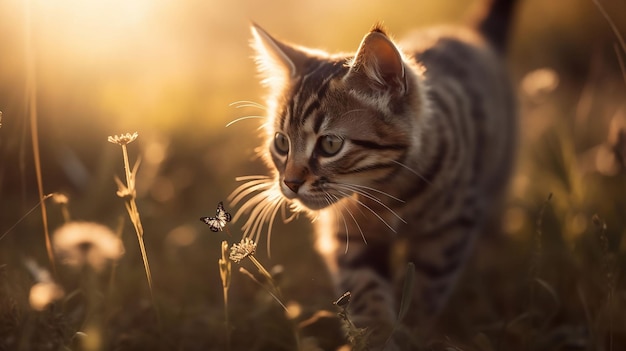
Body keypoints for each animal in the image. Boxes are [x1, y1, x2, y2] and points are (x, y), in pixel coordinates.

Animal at [232, 0, 516, 350]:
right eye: (281, 143)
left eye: (330, 144)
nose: (291, 183)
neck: (387, 193)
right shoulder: (348, 237)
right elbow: (366, 294)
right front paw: (378, 337)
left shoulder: (450, 229)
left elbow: (425, 290)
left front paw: (412, 333)